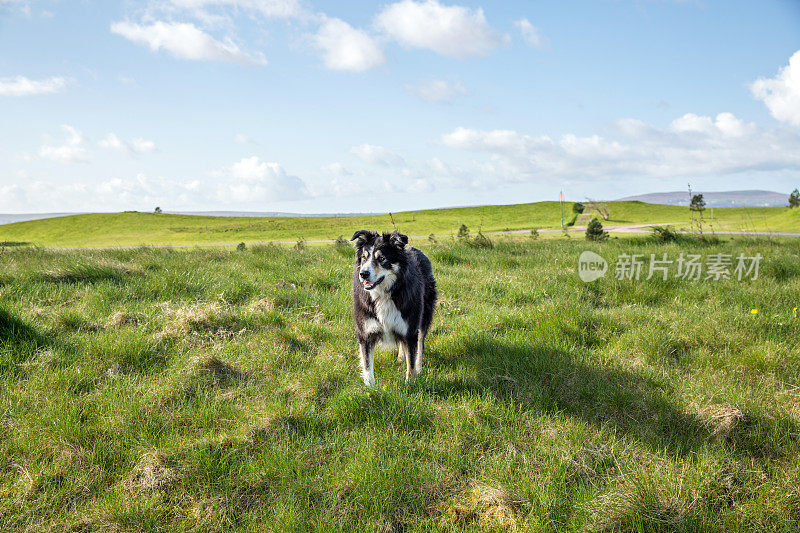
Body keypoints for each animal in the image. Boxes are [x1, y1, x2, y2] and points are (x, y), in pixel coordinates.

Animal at [350, 231, 438, 384]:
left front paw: (411, 384)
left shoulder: (410, 329)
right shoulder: (366, 332)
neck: (384, 293)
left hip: (424, 314)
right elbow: (367, 364)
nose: (363, 274)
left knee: (420, 342)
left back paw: (420, 367)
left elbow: (411, 362)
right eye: (363, 258)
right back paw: (401, 357)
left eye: (382, 258)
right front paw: (370, 387)